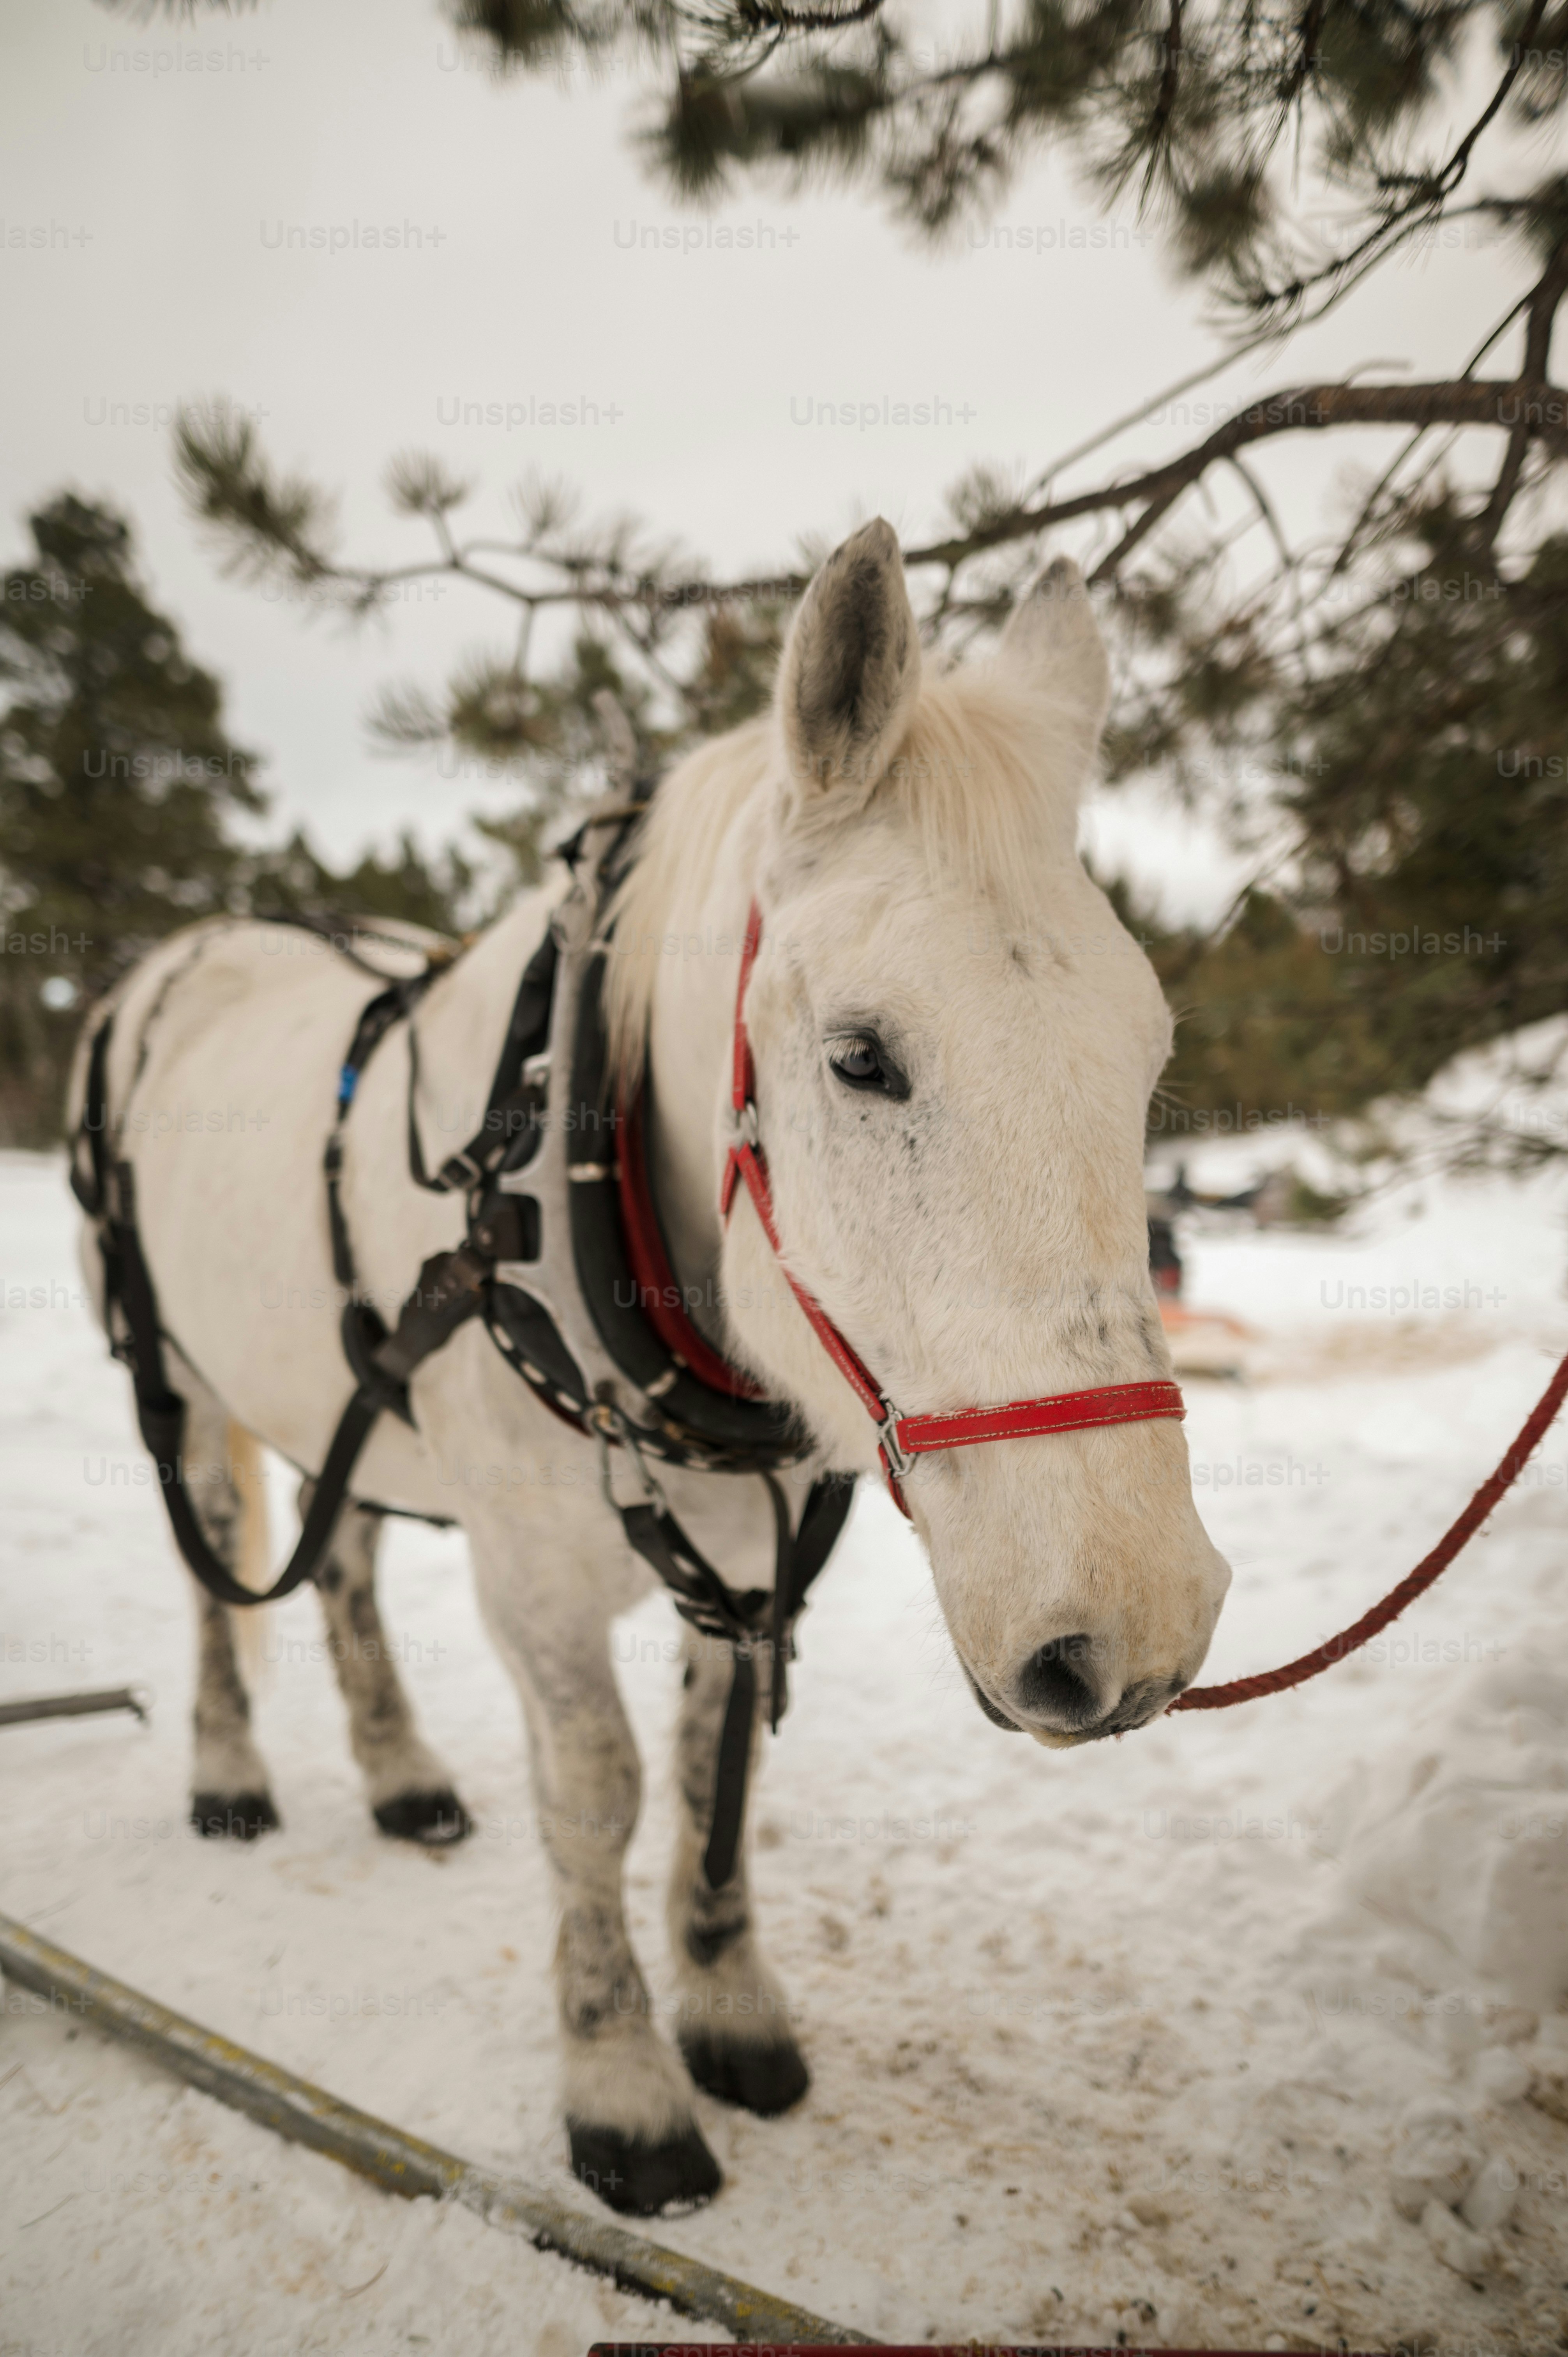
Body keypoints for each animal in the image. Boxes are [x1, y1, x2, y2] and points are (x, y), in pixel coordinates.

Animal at [67, 521, 1231, 2216]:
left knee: (340, 1555)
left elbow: (707, 1778)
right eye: (860, 1056)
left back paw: (399, 1771)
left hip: (339, 1380)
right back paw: (228, 1770)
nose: (1134, 1628)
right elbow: (598, 1794)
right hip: (178, 1366)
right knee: (220, 1556)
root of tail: (191, 954)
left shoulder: (751, 1553)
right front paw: (620, 2085)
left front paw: (732, 2009)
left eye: (1145, 1058)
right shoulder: (534, 1579)